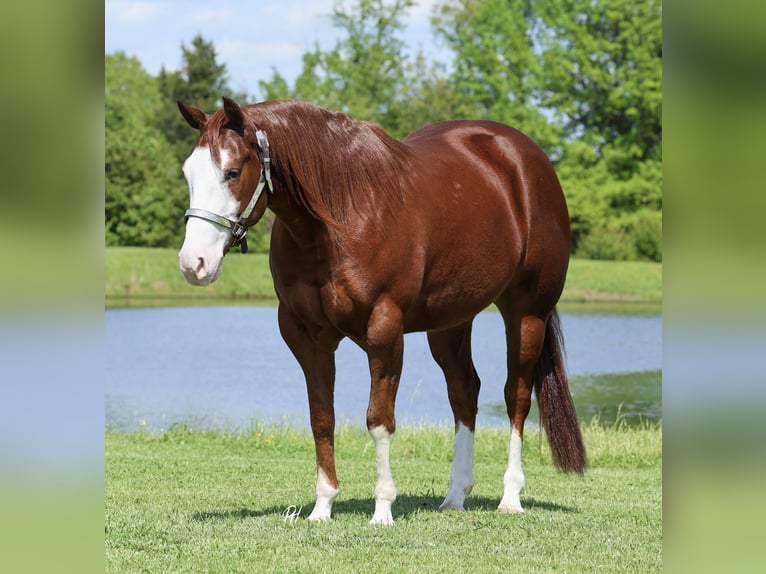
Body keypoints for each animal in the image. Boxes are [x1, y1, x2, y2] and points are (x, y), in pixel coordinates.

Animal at [177, 97, 586, 525]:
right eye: (188, 172)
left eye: (233, 171)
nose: (194, 263)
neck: (340, 215)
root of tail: (526, 160)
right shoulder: (307, 337)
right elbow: (321, 418)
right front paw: (322, 507)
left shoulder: (384, 330)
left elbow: (379, 420)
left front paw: (383, 509)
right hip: (452, 321)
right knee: (464, 392)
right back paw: (456, 495)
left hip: (527, 312)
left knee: (516, 396)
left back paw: (510, 496)